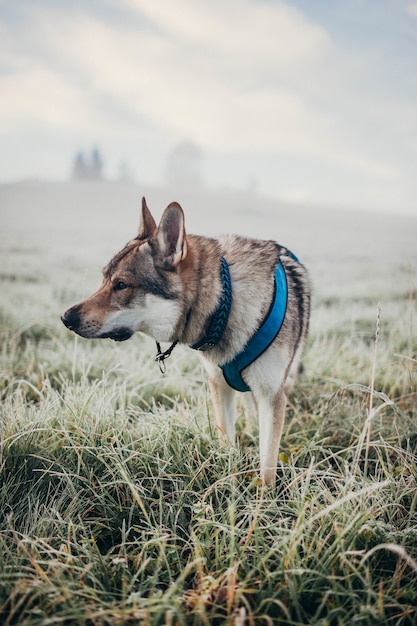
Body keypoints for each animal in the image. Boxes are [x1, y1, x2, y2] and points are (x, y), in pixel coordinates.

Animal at [61, 197, 308, 486]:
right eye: (103, 279)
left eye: (121, 285)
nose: (65, 318)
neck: (226, 302)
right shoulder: (218, 385)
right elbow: (226, 441)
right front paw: (229, 482)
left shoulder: (271, 396)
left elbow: (267, 467)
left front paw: (263, 498)